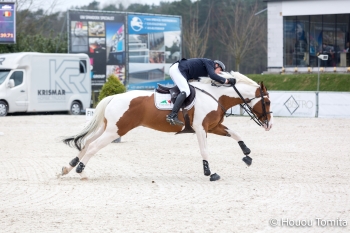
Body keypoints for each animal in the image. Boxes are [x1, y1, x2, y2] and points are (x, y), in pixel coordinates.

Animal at [60, 72, 274, 181]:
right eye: (268, 102)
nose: (270, 125)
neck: (216, 95)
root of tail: (114, 97)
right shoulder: (201, 128)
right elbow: (205, 151)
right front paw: (210, 173)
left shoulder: (213, 126)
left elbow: (236, 134)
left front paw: (247, 154)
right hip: (116, 131)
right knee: (93, 147)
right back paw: (81, 170)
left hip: (109, 128)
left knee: (87, 142)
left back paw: (67, 168)